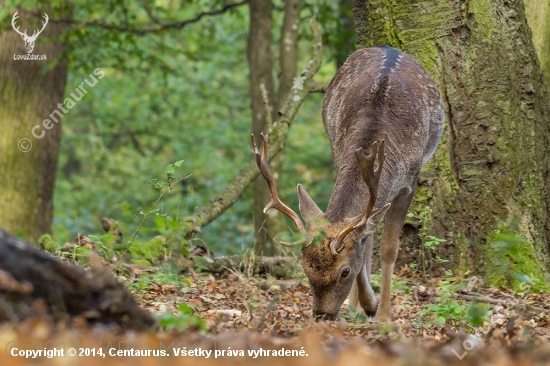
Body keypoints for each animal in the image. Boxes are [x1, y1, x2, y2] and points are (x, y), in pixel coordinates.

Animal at [252, 45, 446, 320]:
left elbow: (389, 249)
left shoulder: (409, 181)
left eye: (344, 271)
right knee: (368, 236)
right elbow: (363, 244)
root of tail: (388, 47)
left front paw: (383, 315)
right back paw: (355, 307)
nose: (322, 315)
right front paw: (368, 303)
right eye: (306, 269)